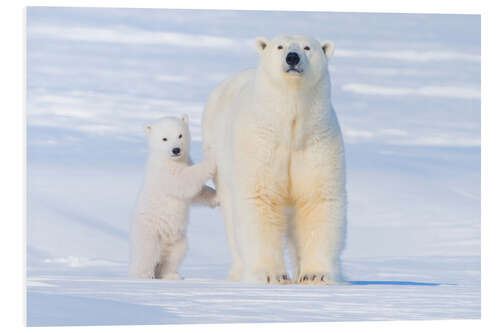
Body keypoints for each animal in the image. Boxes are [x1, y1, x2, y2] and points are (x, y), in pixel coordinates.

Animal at [201, 35, 346, 284]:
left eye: (308, 47)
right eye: (280, 46)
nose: (292, 57)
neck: (289, 128)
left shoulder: (317, 143)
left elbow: (318, 199)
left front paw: (315, 275)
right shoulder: (260, 143)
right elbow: (260, 199)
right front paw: (271, 275)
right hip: (219, 158)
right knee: (231, 216)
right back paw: (239, 271)